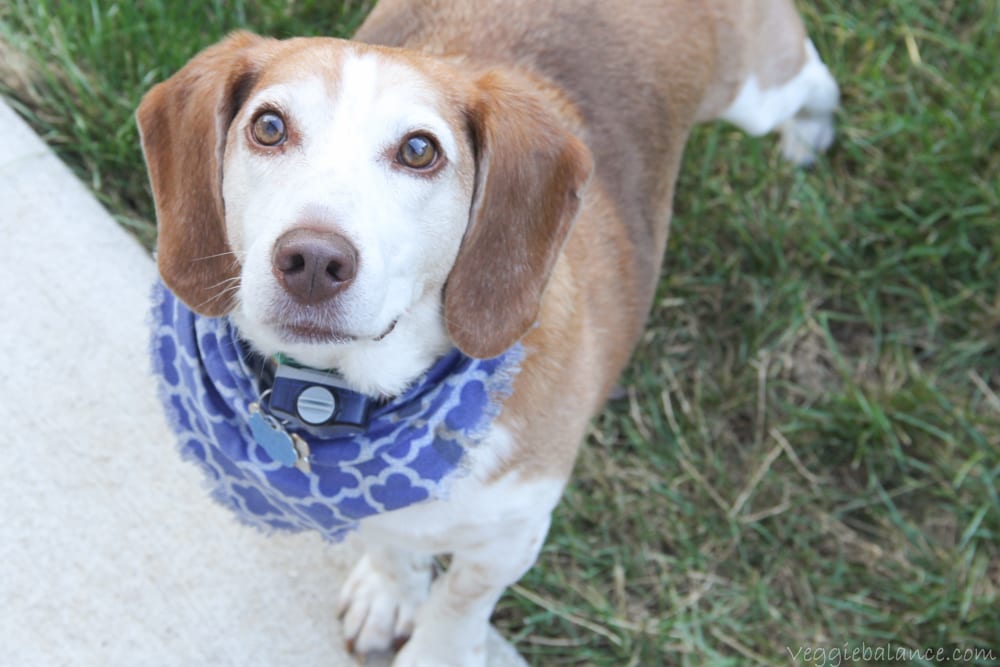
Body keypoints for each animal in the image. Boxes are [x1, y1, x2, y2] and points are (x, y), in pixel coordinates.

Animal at [133, 0, 836, 664]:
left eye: (419, 150)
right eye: (269, 126)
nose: (311, 260)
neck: (346, 397)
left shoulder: (513, 534)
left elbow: (460, 602)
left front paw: (435, 653)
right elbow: (393, 543)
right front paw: (389, 593)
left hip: (755, 90)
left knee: (808, 73)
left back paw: (811, 135)